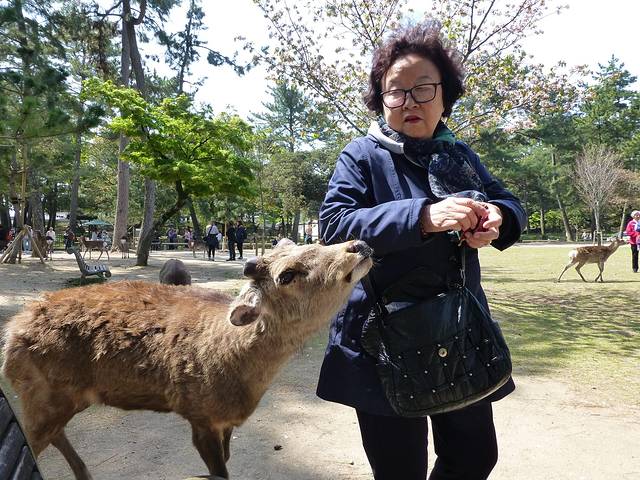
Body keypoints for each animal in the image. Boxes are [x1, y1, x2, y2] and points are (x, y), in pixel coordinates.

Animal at [1, 239, 373, 480]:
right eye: (287, 274)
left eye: (316, 242)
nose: (358, 245)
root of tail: (11, 335)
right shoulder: (199, 413)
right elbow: (219, 472)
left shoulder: (224, 420)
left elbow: (227, 459)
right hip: (42, 395)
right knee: (34, 439)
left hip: (63, 399)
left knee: (54, 435)